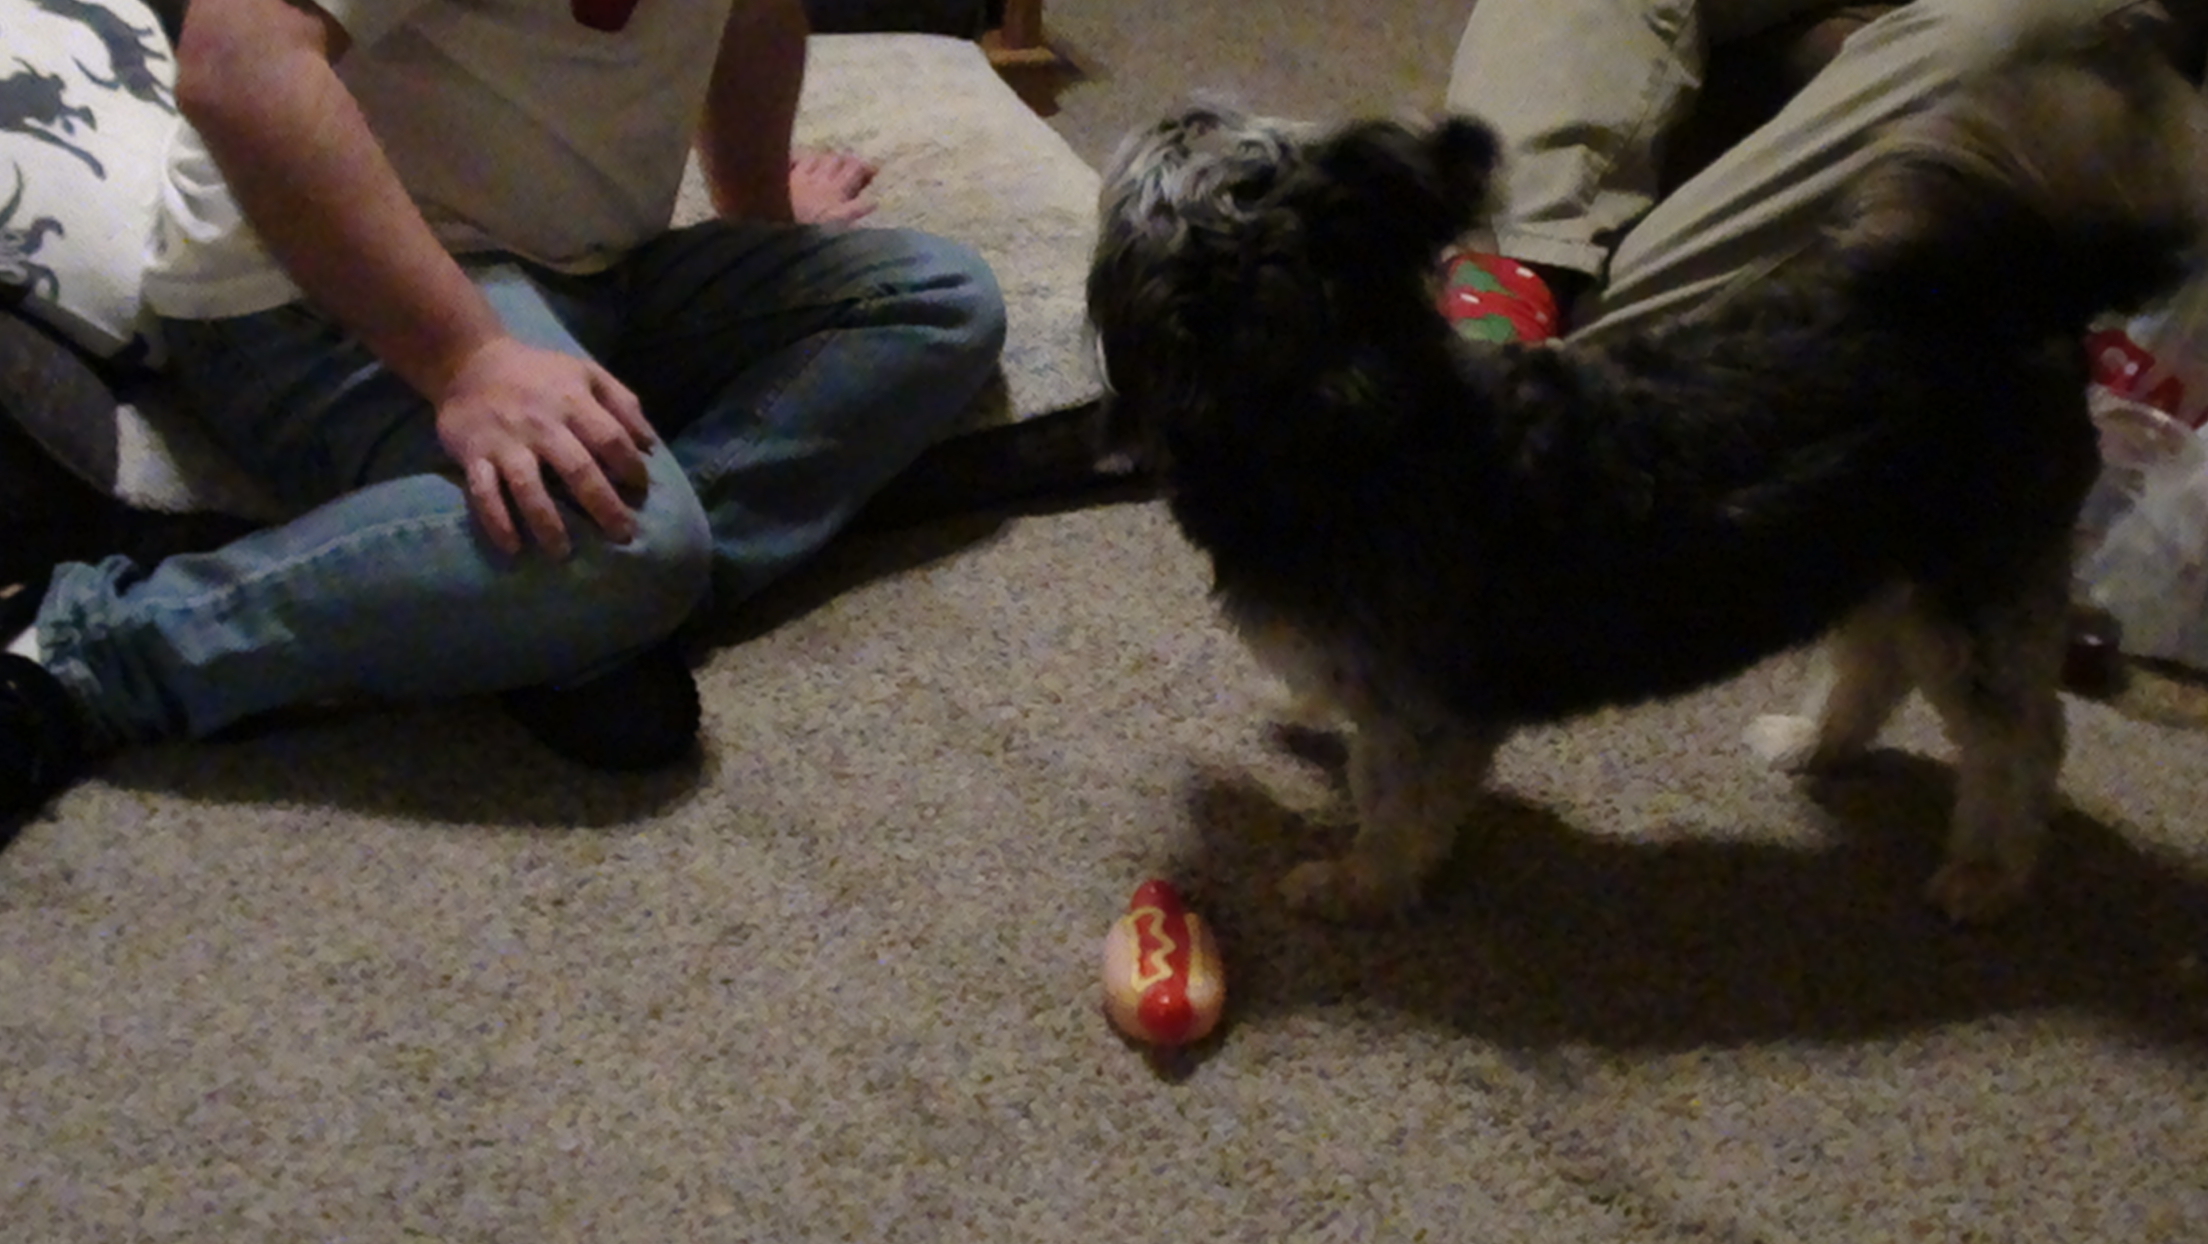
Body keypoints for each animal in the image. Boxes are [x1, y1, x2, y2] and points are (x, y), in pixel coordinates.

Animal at [1086, 48, 2208, 925]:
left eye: (1196, 144)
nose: (1187, 101)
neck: (1335, 391)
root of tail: (2025, 303)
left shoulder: (1425, 710)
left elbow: (1397, 804)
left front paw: (1357, 884)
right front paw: (1311, 716)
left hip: (1969, 589)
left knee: (2022, 743)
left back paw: (1987, 874)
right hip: (1880, 554)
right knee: (1875, 664)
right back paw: (1811, 741)